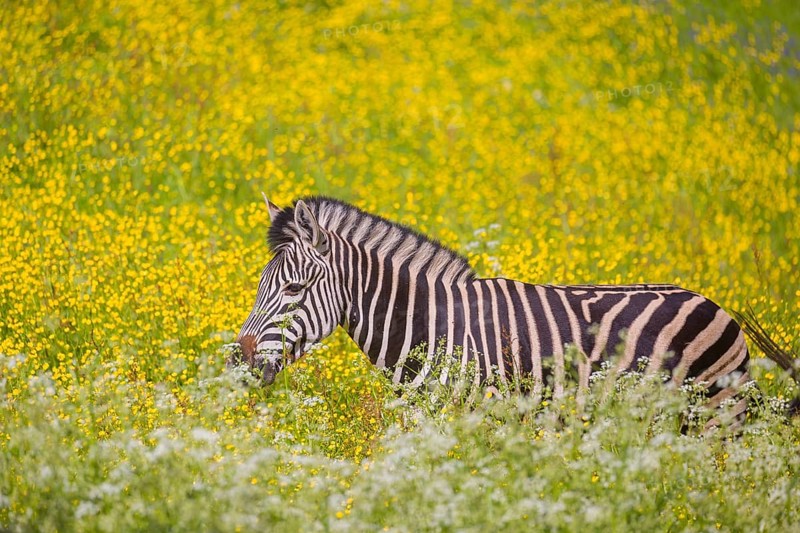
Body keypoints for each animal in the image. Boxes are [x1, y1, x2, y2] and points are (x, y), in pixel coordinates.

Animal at [230, 195, 798, 421]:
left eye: (294, 290)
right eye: (259, 285)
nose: (238, 363)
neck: (433, 326)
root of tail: (717, 306)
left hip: (717, 414)